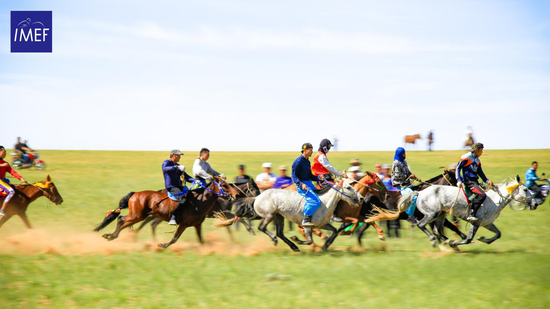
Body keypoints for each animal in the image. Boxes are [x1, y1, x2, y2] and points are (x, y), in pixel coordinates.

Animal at [95, 177, 237, 247]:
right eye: (224, 186)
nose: (236, 195)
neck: (200, 201)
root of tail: (135, 194)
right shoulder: (183, 224)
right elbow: (174, 238)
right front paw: (163, 244)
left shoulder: (197, 225)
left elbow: (201, 240)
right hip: (137, 215)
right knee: (121, 220)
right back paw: (112, 236)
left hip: (140, 216)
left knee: (124, 222)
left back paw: (112, 236)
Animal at [218, 178, 364, 250]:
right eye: (348, 187)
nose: (362, 198)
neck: (324, 202)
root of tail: (257, 197)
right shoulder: (307, 225)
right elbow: (309, 240)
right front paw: (297, 239)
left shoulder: (322, 225)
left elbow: (334, 231)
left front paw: (326, 245)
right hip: (270, 215)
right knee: (262, 228)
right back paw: (277, 240)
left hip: (279, 218)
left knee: (280, 233)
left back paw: (293, 247)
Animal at [368, 176, 532, 248]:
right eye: (525, 189)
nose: (535, 203)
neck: (494, 199)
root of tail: (419, 193)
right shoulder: (476, 222)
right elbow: (466, 238)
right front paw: (456, 242)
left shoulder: (487, 223)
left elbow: (498, 234)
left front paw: (483, 239)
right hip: (432, 214)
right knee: (423, 226)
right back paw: (436, 241)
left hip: (439, 215)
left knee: (436, 229)